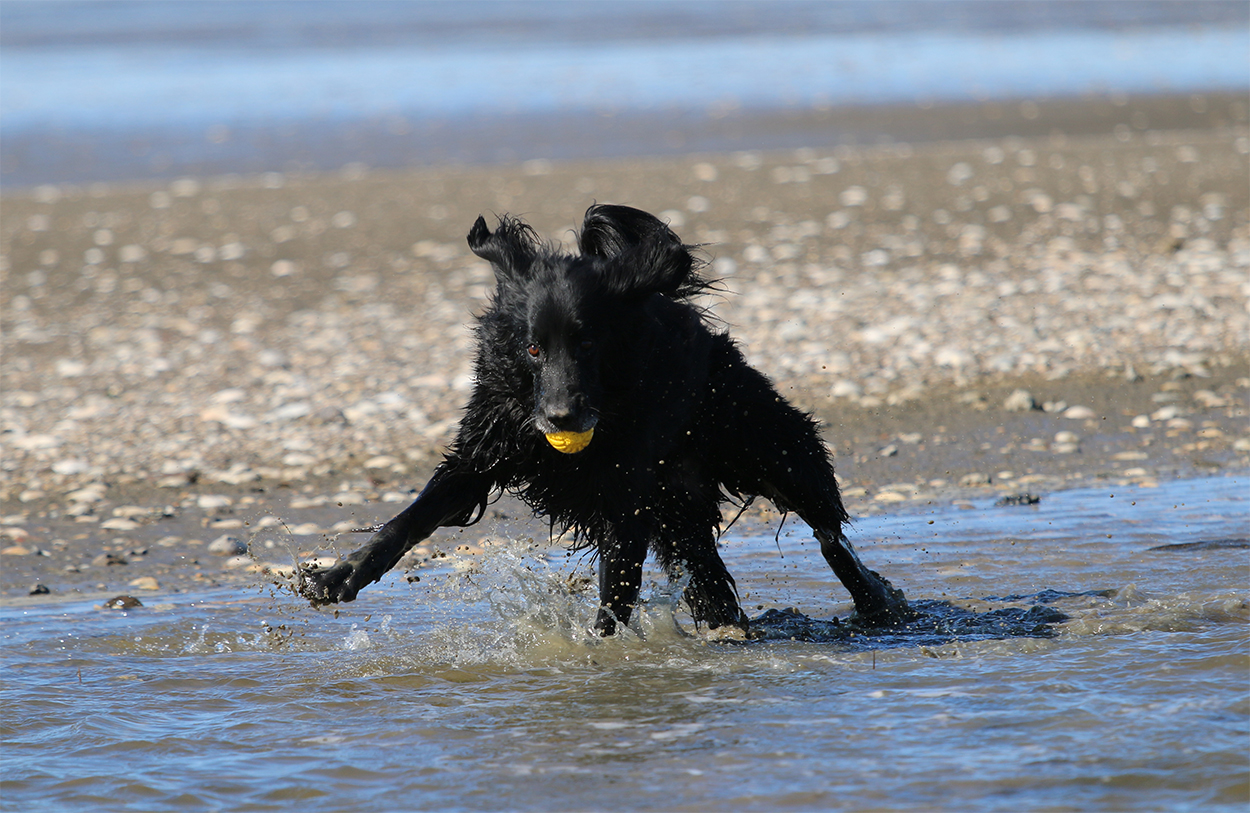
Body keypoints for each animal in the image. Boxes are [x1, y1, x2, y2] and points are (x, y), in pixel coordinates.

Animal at [299, 204, 909, 635]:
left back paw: (878, 601)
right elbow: (410, 518)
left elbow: (615, 590)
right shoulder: (485, 450)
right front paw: (338, 575)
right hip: (682, 511)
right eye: (533, 348)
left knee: (827, 531)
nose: (562, 416)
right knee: (711, 577)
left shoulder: (627, 495)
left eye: (588, 342)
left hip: (765, 446)